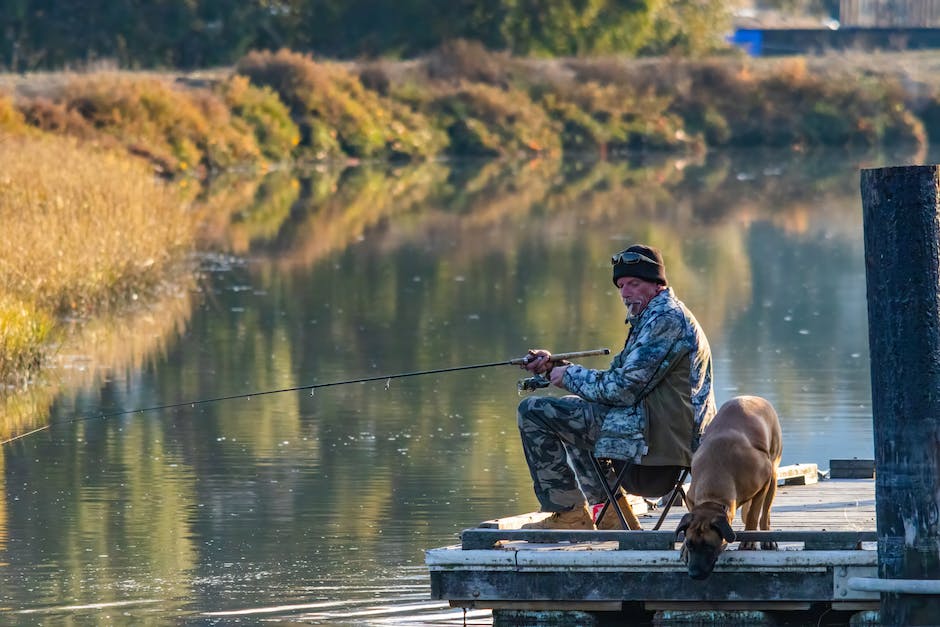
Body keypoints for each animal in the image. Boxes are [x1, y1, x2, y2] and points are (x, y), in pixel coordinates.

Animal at [672, 394, 784, 580]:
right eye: (690, 544)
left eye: (709, 546)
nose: (694, 574)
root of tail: (753, 396)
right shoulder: (690, 496)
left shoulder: (764, 478)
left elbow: (754, 514)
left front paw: (748, 541)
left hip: (773, 472)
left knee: (764, 513)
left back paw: (766, 537)